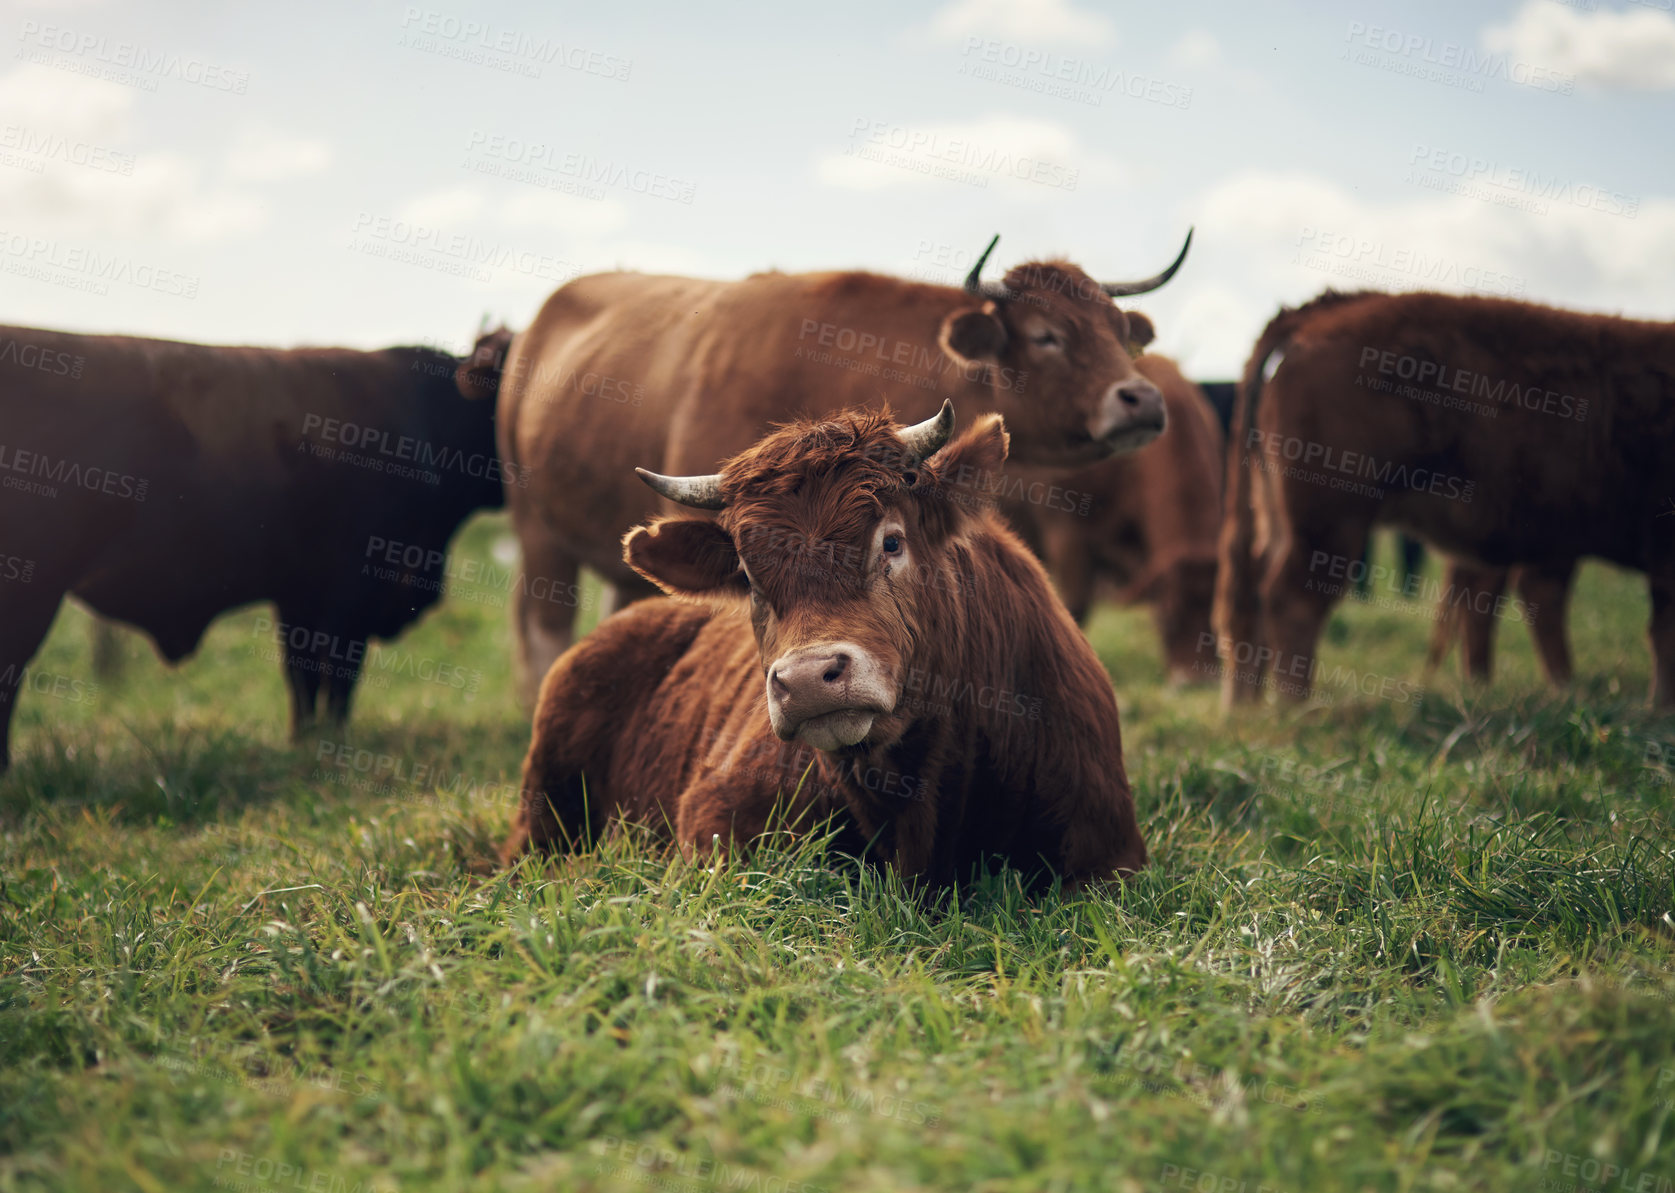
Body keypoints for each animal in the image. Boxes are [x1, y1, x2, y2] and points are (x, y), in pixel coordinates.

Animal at [495, 405, 1152, 891]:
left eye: (892, 542)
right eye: (748, 577)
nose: (810, 679)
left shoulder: (1109, 854)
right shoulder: (714, 819)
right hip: (541, 806)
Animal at [1219, 289, 1675, 713]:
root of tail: (1325, 313)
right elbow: (1662, 632)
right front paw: (1660, 707)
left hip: (1282, 519)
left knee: (1251, 596)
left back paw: (1247, 705)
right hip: (1331, 523)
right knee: (1291, 600)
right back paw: (1297, 708)